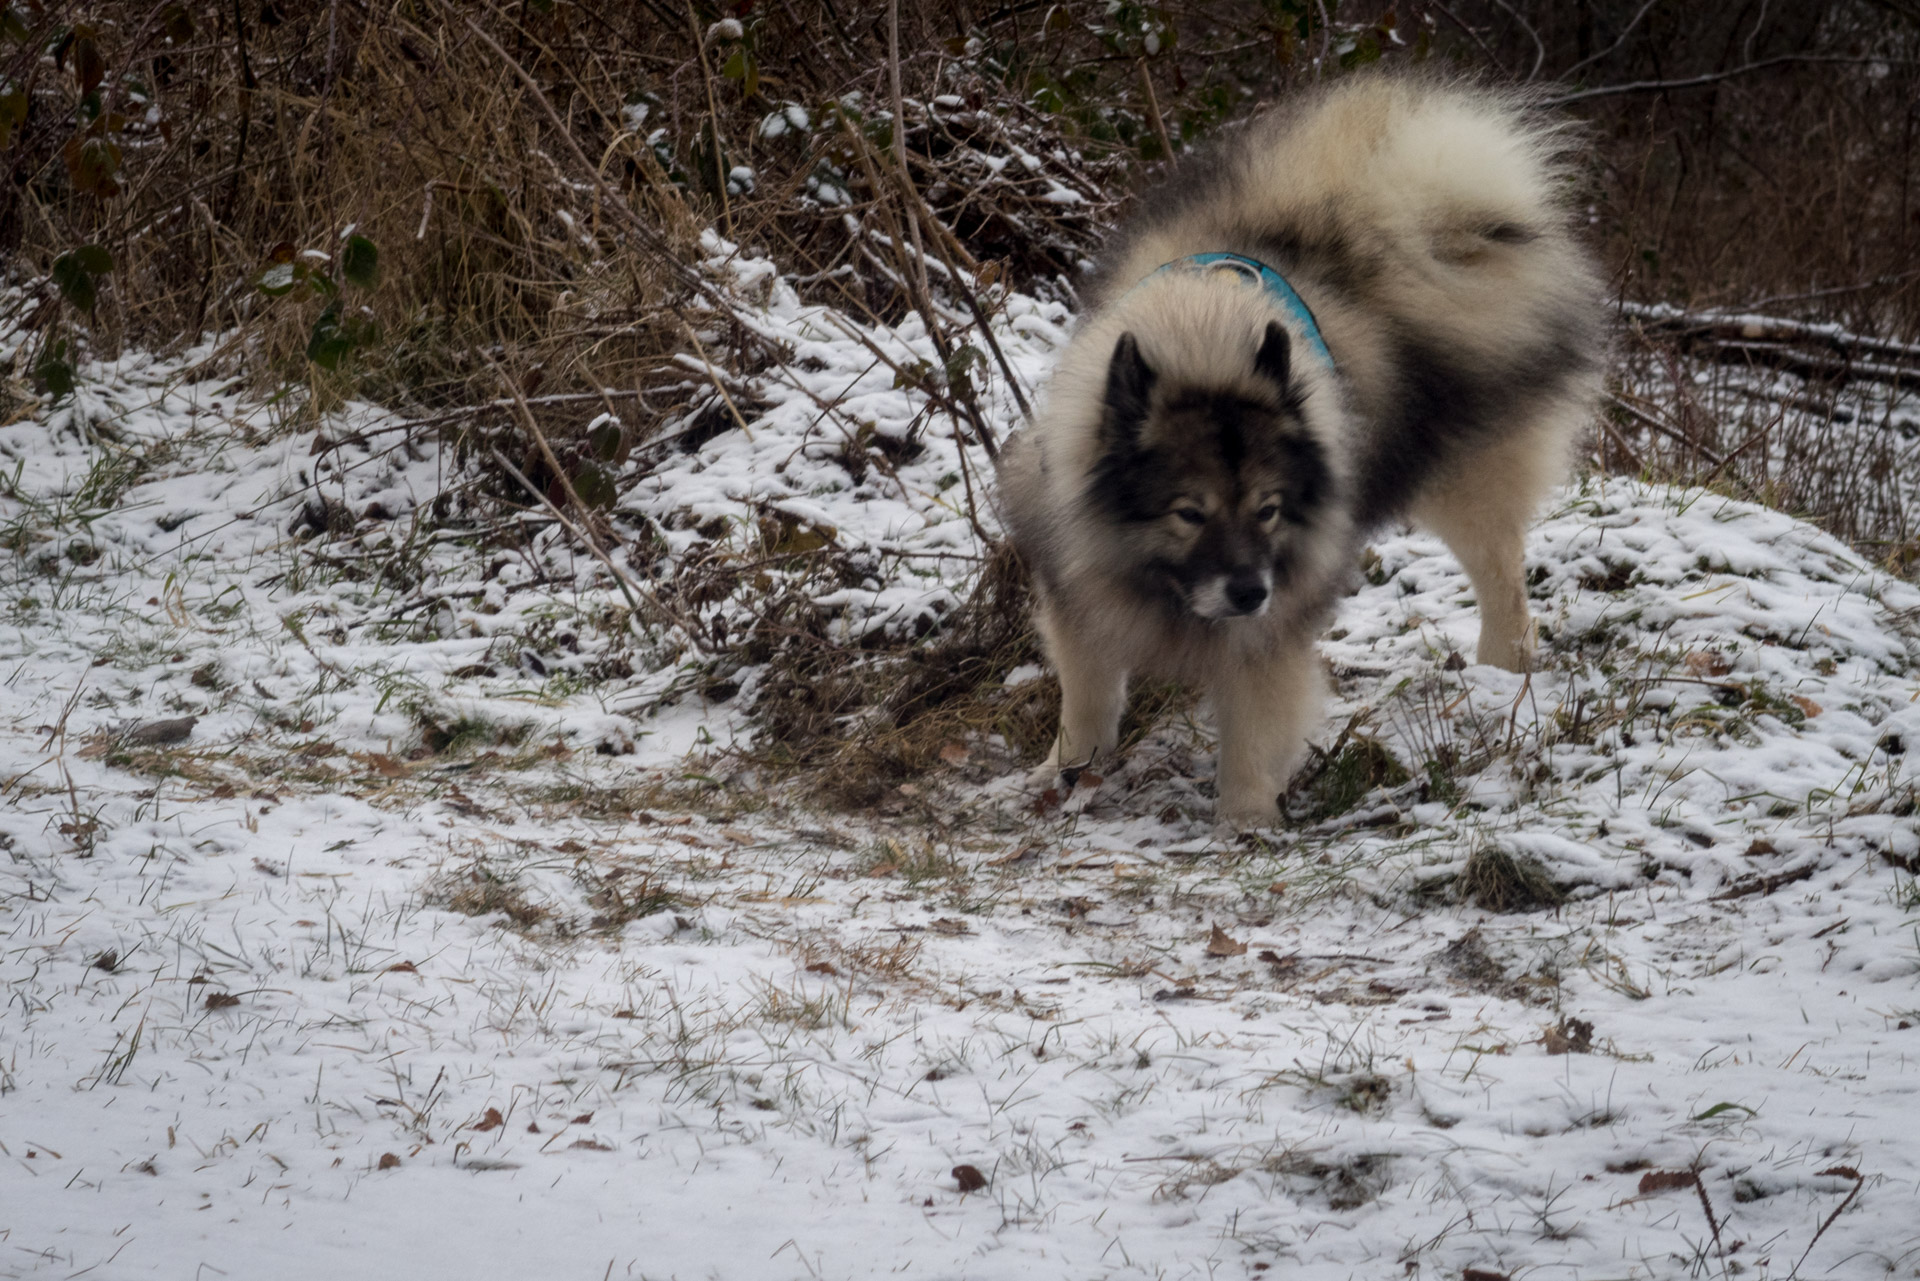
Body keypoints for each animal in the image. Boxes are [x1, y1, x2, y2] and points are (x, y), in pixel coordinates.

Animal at [998, 72, 1597, 821]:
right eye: (1188, 513)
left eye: (1269, 509)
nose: (1249, 590)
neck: (1206, 350)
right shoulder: (1078, 585)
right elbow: (1086, 697)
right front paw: (1062, 771)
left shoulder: (1275, 615)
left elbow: (1253, 724)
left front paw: (1244, 819)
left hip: (1465, 482)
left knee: (1501, 575)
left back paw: (1503, 666)